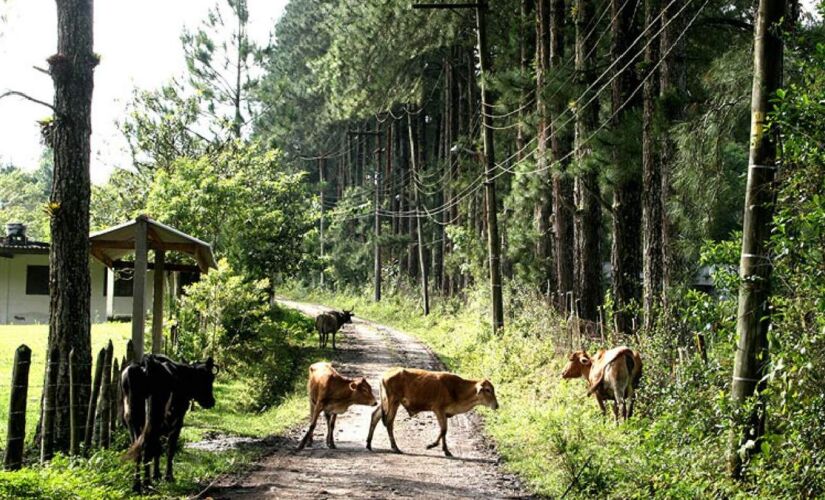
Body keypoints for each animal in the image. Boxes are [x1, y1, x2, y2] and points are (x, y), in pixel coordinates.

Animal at [120, 356, 216, 492]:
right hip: (154, 419)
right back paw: (147, 484)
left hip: (132, 419)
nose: (211, 401)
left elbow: (157, 448)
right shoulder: (177, 423)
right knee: (147, 448)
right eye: (209, 378)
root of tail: (145, 363)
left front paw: (157, 475)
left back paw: (137, 485)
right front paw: (167, 476)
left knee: (138, 448)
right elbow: (170, 449)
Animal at [366, 368, 496, 458]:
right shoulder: (438, 410)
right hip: (393, 402)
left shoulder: (445, 414)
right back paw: (395, 448)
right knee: (389, 422)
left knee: (375, 416)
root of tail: (384, 375)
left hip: (385, 402)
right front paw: (431, 445)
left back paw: (369, 444)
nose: (496, 405)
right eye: (488, 390)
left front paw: (446, 450)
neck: (457, 389)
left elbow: (444, 431)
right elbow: (443, 430)